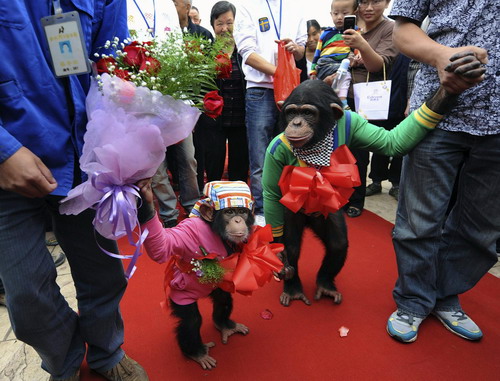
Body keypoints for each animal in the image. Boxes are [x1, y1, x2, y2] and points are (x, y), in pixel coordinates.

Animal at [135, 180, 288, 368]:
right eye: (229, 212)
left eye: (242, 212)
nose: (238, 220)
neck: (216, 232)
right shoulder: (188, 233)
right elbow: (163, 247)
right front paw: (146, 200)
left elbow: (255, 245)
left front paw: (278, 262)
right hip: (179, 295)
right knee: (191, 321)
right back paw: (196, 353)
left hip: (217, 287)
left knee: (223, 300)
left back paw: (225, 326)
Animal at [262, 49, 484, 306]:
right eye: (291, 113)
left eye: (307, 112)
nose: (296, 123)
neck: (316, 145)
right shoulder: (274, 151)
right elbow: (270, 191)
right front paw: (281, 256)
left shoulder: (356, 125)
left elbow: (391, 142)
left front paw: (452, 87)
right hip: (291, 214)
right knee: (293, 244)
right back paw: (293, 288)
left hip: (326, 213)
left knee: (338, 244)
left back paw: (326, 284)